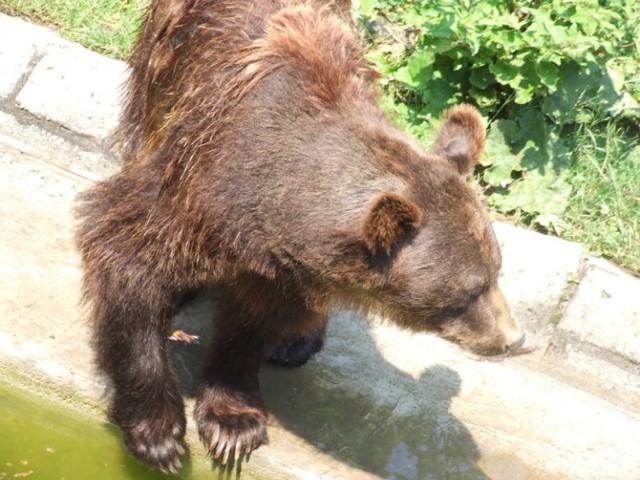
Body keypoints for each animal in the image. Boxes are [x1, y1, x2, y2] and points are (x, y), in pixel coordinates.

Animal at [75, 0, 524, 472]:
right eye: (469, 290)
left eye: (496, 270)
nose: (513, 339)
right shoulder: (191, 192)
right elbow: (128, 264)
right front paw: (158, 433)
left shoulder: (279, 265)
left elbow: (252, 324)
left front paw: (232, 423)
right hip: (158, 67)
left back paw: (298, 340)